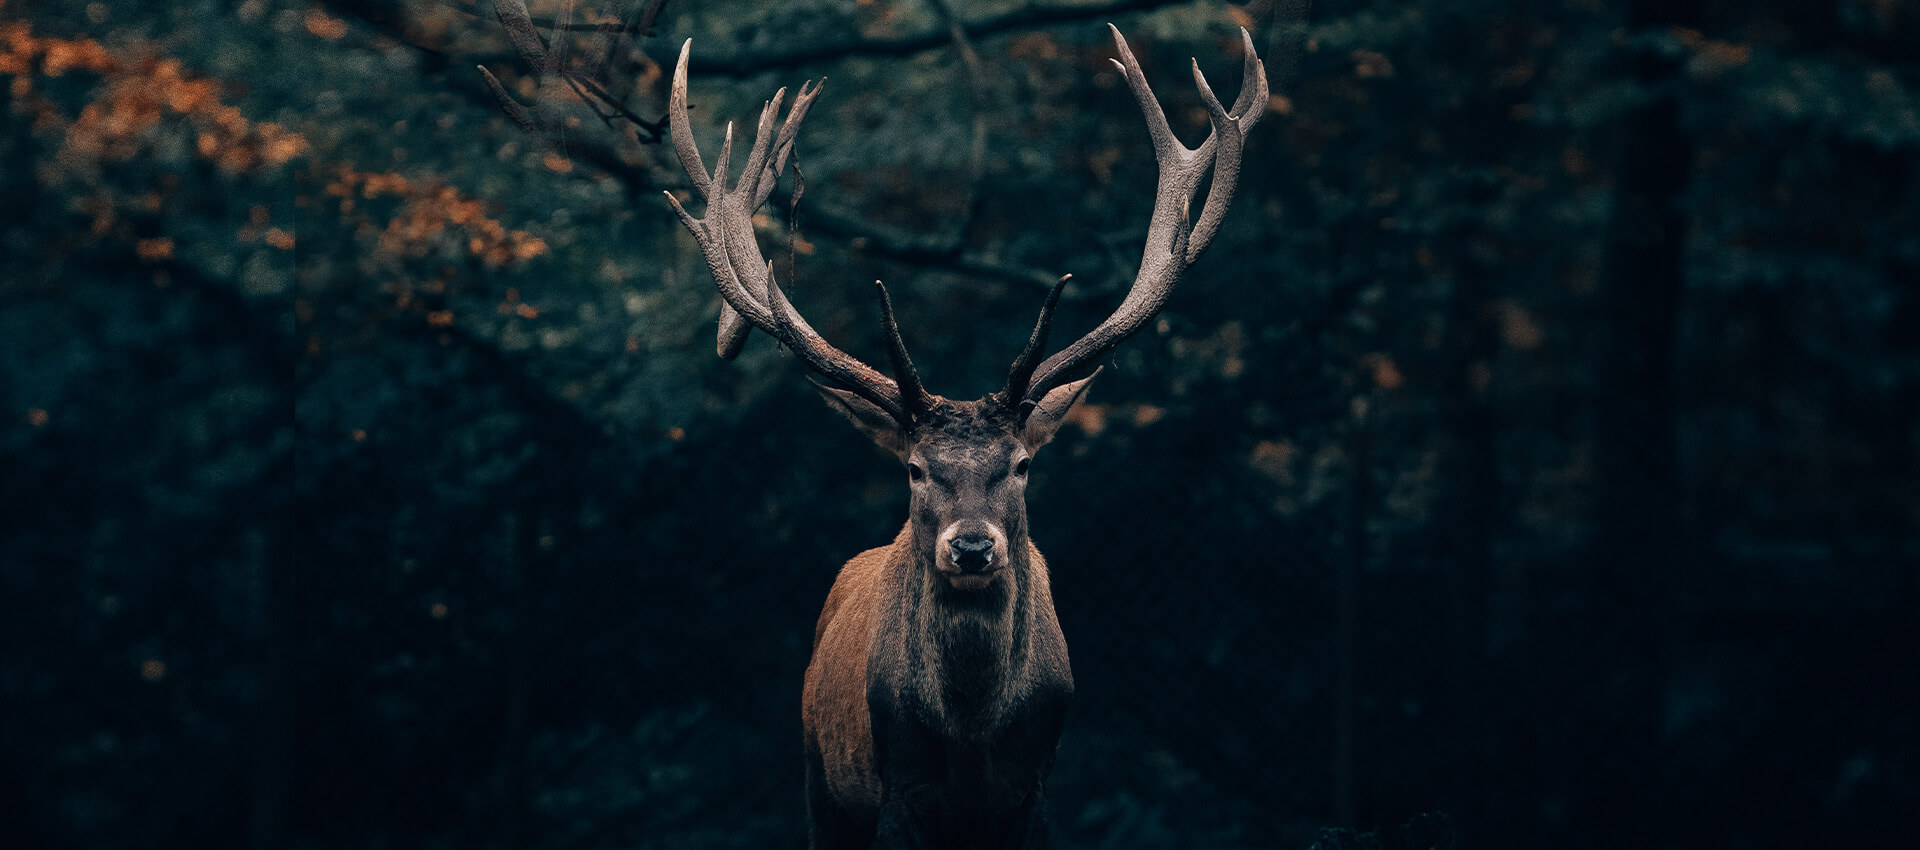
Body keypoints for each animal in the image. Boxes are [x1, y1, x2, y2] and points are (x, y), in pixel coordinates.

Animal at [664, 23, 1274, 848]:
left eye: (1020, 465)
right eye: (916, 469)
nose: (974, 547)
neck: (974, 741)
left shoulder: (1034, 792)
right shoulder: (897, 790)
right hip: (821, 779)